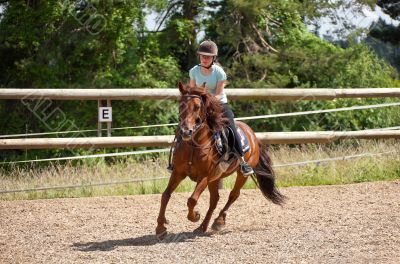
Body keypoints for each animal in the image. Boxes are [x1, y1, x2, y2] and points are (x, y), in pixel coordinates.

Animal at [156, 82, 284, 239]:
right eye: (181, 105)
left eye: (197, 107)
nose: (186, 131)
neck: (194, 146)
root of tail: (252, 134)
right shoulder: (178, 173)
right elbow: (165, 196)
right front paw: (160, 227)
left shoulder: (204, 176)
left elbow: (192, 199)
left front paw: (195, 216)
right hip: (215, 178)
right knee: (214, 200)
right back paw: (203, 227)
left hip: (241, 175)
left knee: (233, 195)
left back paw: (218, 221)